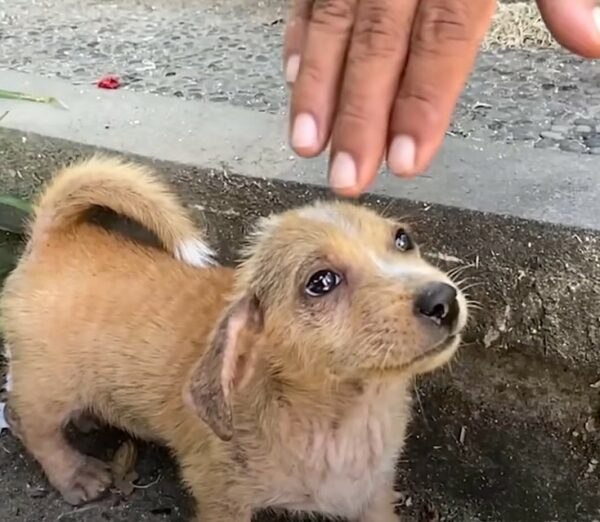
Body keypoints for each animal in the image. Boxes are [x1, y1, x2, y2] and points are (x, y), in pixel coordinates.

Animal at [0, 156, 468, 520]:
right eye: (321, 282)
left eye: (403, 239)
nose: (443, 300)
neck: (347, 416)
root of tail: (54, 237)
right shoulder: (220, 494)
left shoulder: (373, 497)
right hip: (49, 386)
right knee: (27, 421)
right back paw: (74, 473)